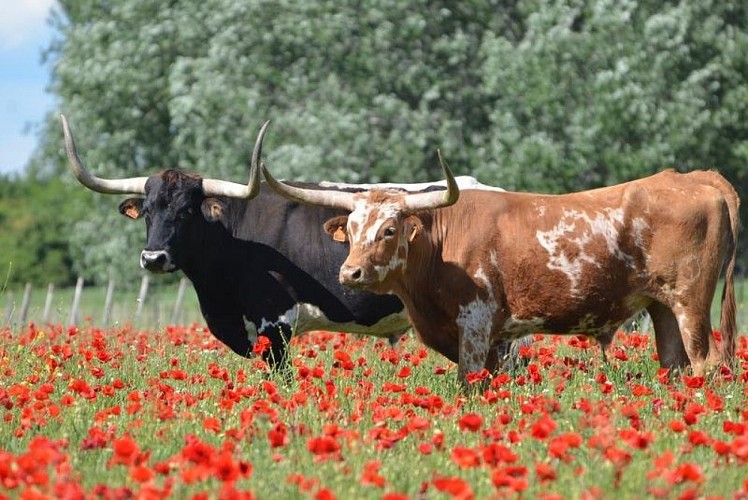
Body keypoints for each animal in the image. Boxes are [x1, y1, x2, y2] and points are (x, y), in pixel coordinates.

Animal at [261, 156, 739, 387]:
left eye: (390, 229)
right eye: (353, 229)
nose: (351, 273)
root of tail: (693, 177)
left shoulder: (474, 326)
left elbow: (469, 385)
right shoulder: (493, 340)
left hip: (691, 303)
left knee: (707, 363)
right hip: (662, 307)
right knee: (674, 364)